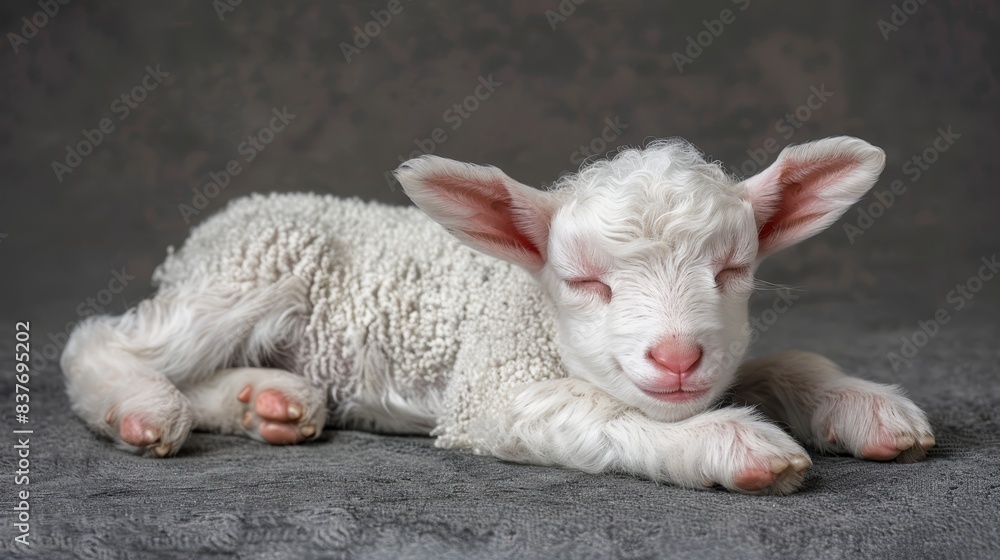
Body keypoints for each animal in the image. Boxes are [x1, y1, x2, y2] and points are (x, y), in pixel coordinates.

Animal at [61, 136, 934, 495]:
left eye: (733, 271)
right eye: (584, 281)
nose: (678, 358)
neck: (534, 309)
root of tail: (220, 220)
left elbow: (782, 363)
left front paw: (867, 408)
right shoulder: (491, 390)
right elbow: (597, 412)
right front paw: (731, 444)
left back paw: (269, 402)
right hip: (254, 272)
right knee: (103, 340)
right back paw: (143, 407)